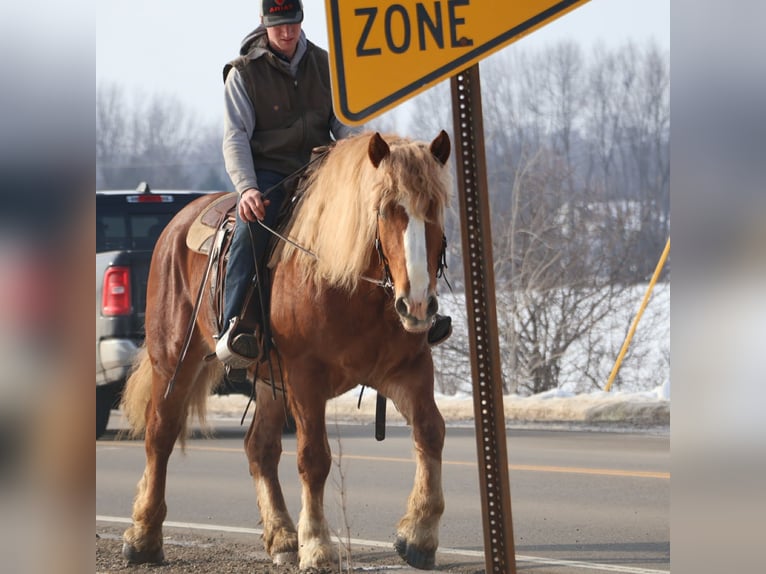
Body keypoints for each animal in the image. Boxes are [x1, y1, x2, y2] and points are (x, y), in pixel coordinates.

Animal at [119, 130, 453, 570]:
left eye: (435, 208)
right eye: (384, 210)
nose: (417, 304)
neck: (347, 283)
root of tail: (177, 224)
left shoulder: (409, 369)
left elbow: (431, 431)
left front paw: (419, 534)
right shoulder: (305, 377)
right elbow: (314, 457)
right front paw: (318, 546)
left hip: (268, 382)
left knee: (259, 448)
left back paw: (281, 537)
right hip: (173, 360)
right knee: (160, 435)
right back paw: (143, 536)